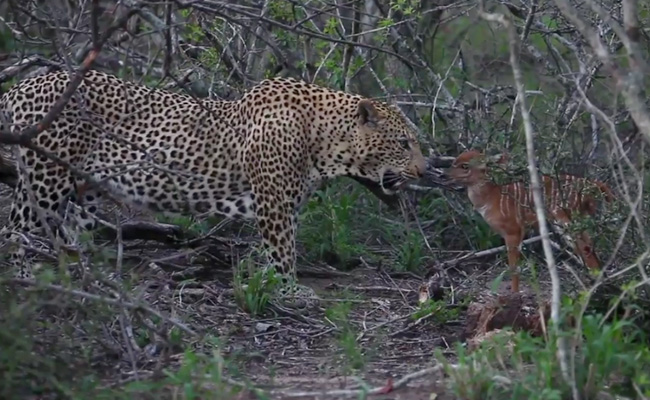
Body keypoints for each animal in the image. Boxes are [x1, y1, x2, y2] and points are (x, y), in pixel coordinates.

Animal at [0, 69, 428, 309]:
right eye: (404, 143)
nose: (425, 170)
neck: (325, 140)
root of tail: (20, 85)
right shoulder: (273, 201)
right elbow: (283, 251)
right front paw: (290, 292)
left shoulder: (284, 203)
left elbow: (279, 250)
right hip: (45, 178)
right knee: (14, 230)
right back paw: (24, 280)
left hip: (83, 189)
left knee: (65, 233)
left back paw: (84, 280)